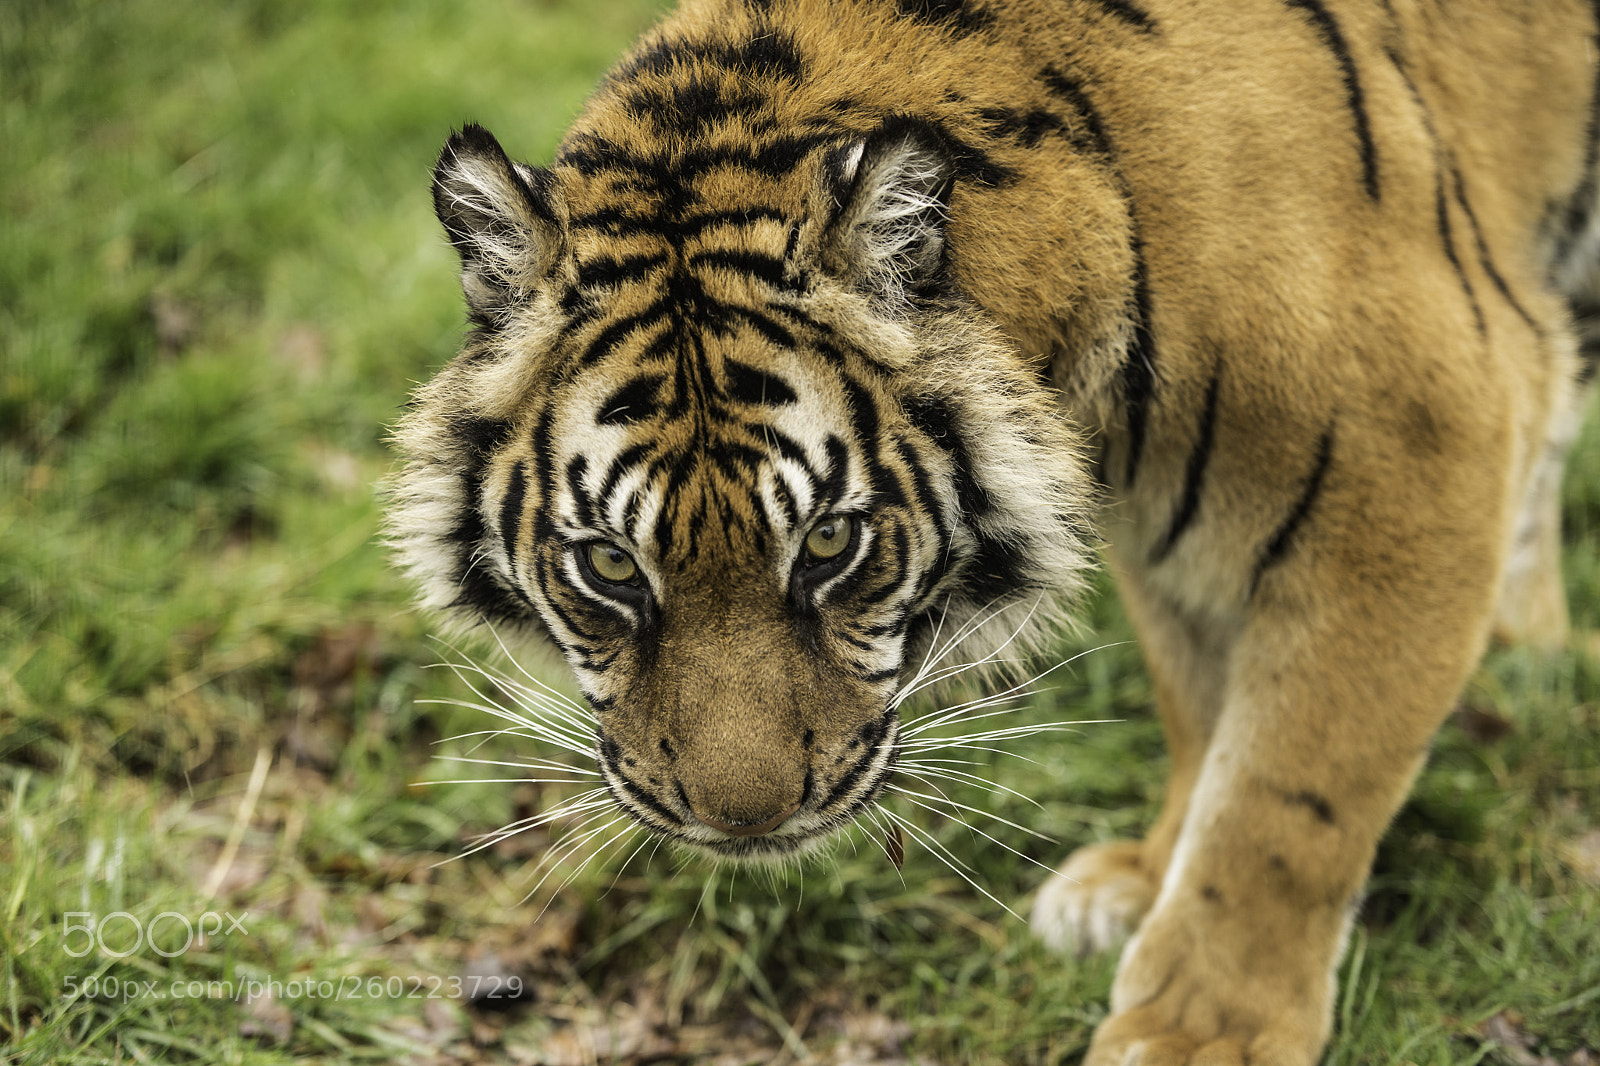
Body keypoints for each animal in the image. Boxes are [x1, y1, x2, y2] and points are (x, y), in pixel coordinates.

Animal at [385, 0, 1600, 1061]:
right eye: (608, 564)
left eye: (827, 545)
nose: (743, 820)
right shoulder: (1185, 530)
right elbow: (1204, 713)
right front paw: (1145, 883)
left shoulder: (1419, 455)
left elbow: (1285, 794)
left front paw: (1202, 1030)